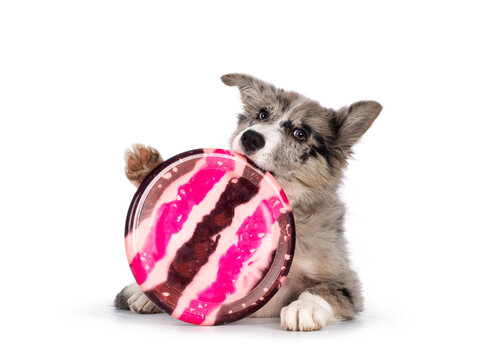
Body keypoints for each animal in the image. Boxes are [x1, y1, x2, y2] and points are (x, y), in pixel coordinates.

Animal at [114, 73, 380, 332]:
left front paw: (302, 308)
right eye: (262, 114)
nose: (251, 137)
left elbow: (322, 290)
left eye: (300, 134)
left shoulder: (345, 280)